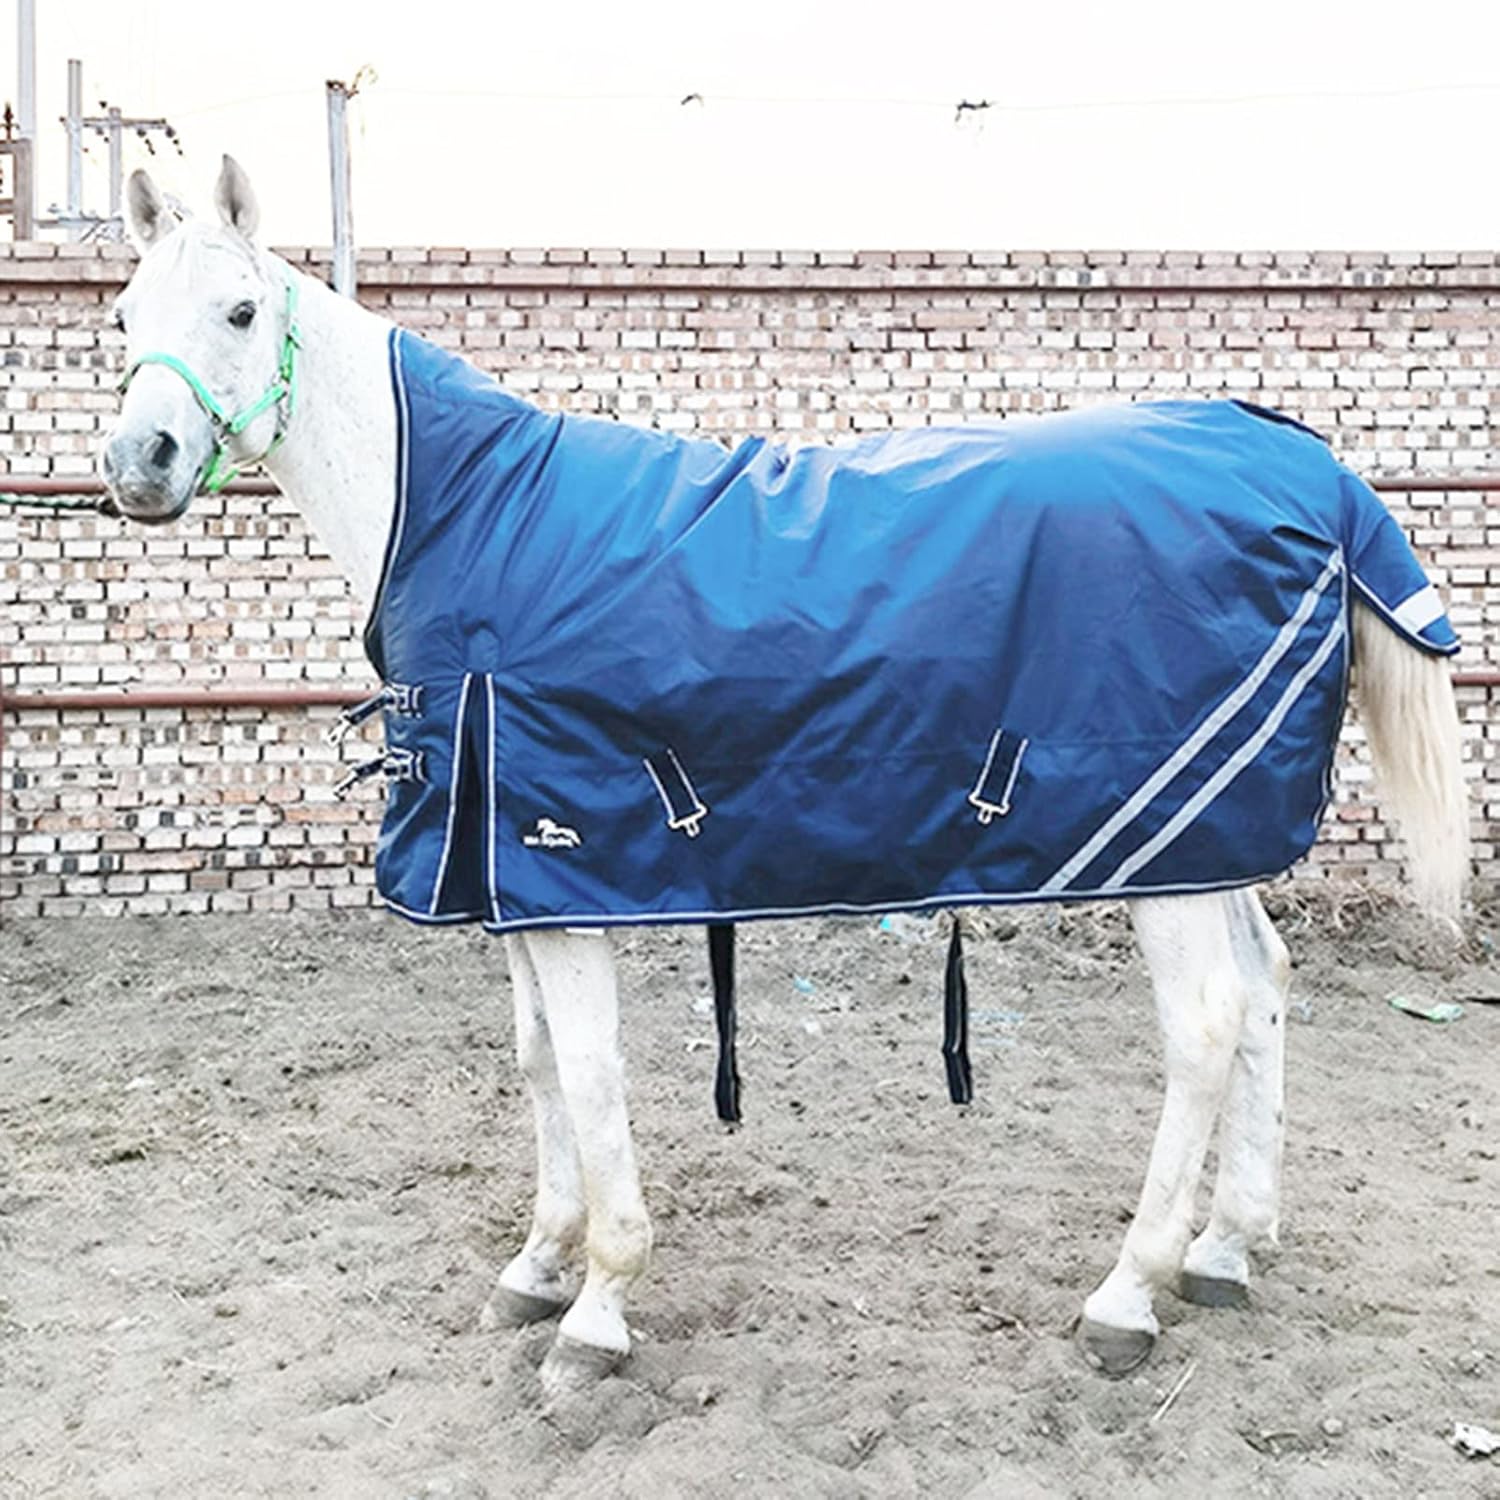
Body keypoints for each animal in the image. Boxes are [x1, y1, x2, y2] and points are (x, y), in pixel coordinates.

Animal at [98, 157, 1468, 1395]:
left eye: (240, 311)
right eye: (124, 315)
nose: (139, 463)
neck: (479, 522)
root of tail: (1301, 467)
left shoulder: (561, 870)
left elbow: (589, 1072)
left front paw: (597, 1310)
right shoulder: (506, 884)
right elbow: (539, 1063)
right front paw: (537, 1266)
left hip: (1170, 868)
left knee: (1207, 1026)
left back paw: (1128, 1294)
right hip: (1207, 837)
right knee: (1268, 987)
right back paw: (1228, 1246)